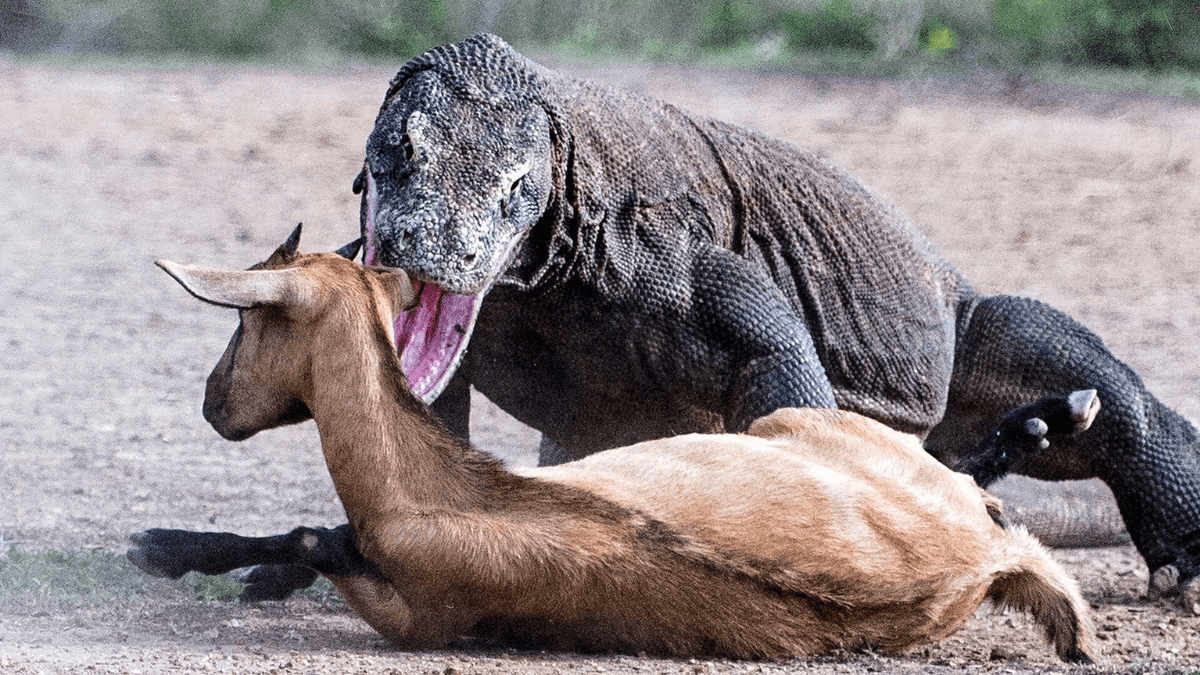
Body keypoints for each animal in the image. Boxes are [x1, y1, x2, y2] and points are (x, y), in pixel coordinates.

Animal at [142, 228, 1099, 658]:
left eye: (246, 319)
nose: (213, 402)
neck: (437, 492)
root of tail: (985, 558)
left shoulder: (416, 616)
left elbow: (310, 533)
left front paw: (159, 547)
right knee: (976, 476)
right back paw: (1052, 416)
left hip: (785, 421)